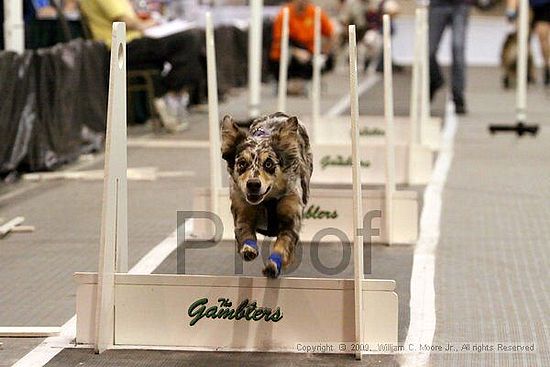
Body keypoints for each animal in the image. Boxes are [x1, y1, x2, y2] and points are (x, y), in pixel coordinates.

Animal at [221, 112, 314, 278]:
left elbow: (282, 244)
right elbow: (245, 232)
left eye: (268, 164)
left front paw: (272, 266)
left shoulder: (291, 219)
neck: (268, 199)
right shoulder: (242, 210)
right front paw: (249, 249)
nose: (253, 184)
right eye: (242, 163)